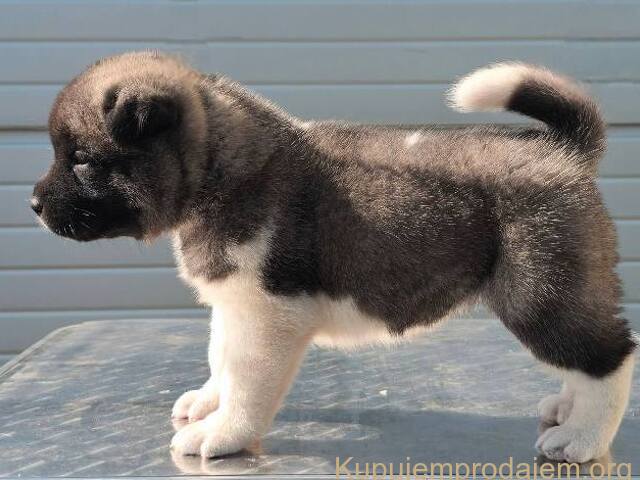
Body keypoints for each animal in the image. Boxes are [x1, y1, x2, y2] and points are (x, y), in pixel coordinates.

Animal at [33, 51, 635, 463]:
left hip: (538, 294)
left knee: (609, 356)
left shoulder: (269, 315)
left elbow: (245, 380)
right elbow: (220, 358)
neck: (223, 170)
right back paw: (566, 407)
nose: (32, 204)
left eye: (82, 159)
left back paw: (581, 437)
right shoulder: (233, 305)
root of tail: (563, 152)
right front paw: (209, 401)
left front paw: (223, 433)